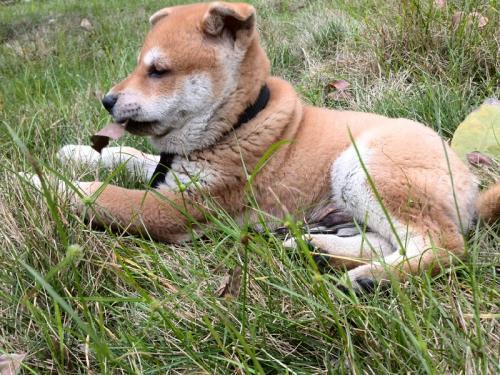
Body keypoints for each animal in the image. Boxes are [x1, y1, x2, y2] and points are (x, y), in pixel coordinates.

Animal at [33, 1, 498, 292]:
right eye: (138, 66)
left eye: (159, 71)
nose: (107, 101)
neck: (236, 123)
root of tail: (470, 183)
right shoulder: (170, 173)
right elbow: (129, 156)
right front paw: (76, 153)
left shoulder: (179, 207)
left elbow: (97, 194)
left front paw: (36, 183)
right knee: (390, 243)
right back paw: (323, 253)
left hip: (364, 165)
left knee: (446, 247)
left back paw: (372, 278)